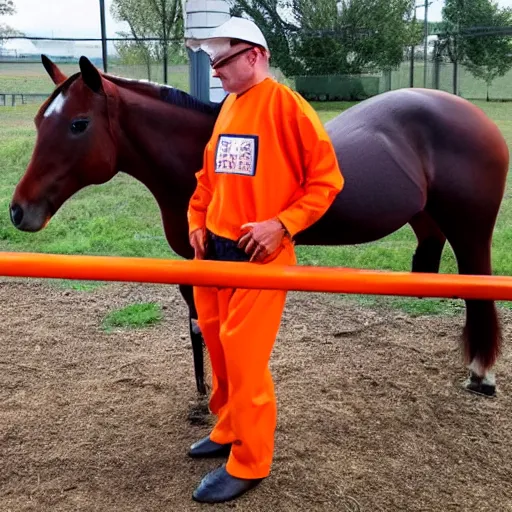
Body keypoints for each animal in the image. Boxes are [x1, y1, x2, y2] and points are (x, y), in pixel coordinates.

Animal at [10, 57, 506, 400]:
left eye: (78, 124)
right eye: (38, 120)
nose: (18, 211)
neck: (205, 154)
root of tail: (474, 116)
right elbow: (198, 326)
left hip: (472, 231)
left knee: (479, 288)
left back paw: (481, 374)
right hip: (429, 221)